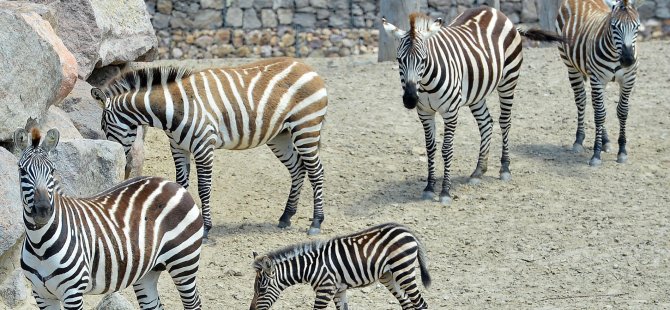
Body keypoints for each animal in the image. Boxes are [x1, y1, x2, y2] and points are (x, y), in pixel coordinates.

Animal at [14, 126, 203, 310]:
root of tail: (172, 184)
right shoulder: (41, 295)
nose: (43, 210)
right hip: (148, 271)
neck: (39, 245)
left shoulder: (73, 293)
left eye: (52, 170)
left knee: (194, 303)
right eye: (22, 171)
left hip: (184, 264)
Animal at [90, 57, 330, 237]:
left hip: (306, 126)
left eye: (104, 126)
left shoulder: (204, 146)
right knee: (297, 169)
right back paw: (286, 216)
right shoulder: (178, 147)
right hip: (280, 135)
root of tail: (306, 66)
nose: (121, 162)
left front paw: (205, 228)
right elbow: (181, 184)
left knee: (316, 171)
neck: (172, 108)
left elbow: (204, 188)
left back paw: (316, 222)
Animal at [249, 223, 434, 310]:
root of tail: (407, 230)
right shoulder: (339, 290)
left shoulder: (325, 290)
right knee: (408, 304)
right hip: (388, 275)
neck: (310, 267)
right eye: (254, 289)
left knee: (421, 304)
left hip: (404, 270)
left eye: (262, 290)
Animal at [384, 7, 568, 205]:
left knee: (505, 122)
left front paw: (445, 191)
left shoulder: (451, 112)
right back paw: (479, 171)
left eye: (423, 60)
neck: (425, 83)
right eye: (399, 60)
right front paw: (429, 187)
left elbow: (447, 149)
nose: (410, 99)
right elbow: (430, 149)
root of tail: (494, 11)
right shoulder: (425, 113)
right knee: (486, 123)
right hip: (477, 93)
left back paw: (505, 169)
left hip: (508, 80)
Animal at [560, 0, 644, 166]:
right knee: (581, 99)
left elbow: (622, 111)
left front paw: (622, 151)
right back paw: (579, 140)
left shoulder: (628, 80)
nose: (628, 60)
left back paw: (605, 141)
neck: (616, 55)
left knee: (595, 105)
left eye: (637, 26)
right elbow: (600, 114)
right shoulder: (597, 79)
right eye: (614, 26)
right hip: (571, 65)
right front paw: (596, 154)